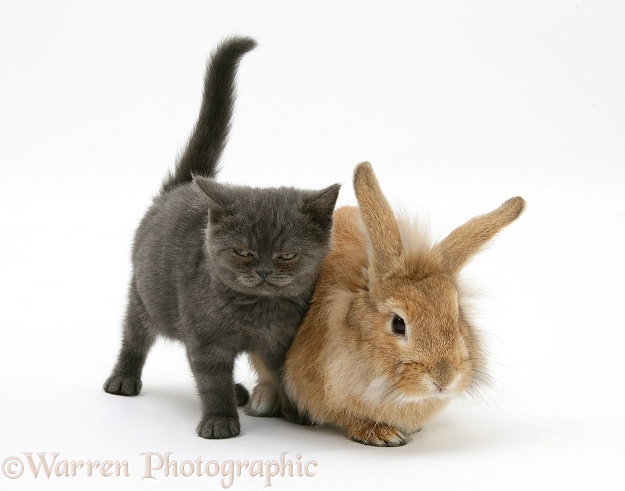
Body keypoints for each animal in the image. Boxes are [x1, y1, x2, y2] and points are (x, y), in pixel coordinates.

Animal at [103, 36, 336, 440]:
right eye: (242, 251)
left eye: (287, 255)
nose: (262, 271)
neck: (257, 311)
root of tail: (181, 185)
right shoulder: (206, 342)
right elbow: (211, 381)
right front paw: (219, 421)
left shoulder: (284, 343)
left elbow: (286, 375)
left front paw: (297, 412)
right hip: (146, 297)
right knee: (134, 336)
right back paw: (123, 379)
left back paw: (240, 390)